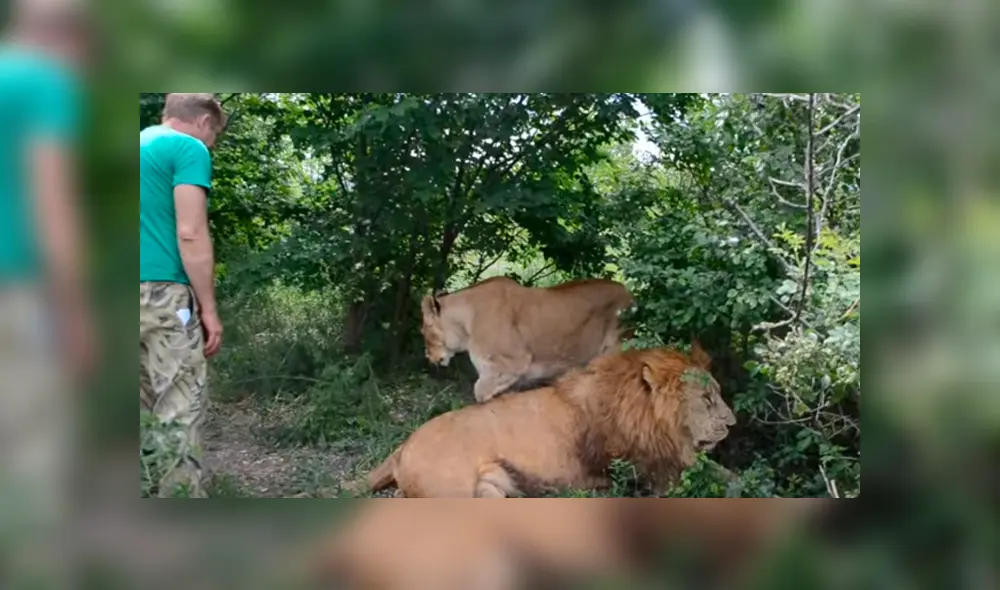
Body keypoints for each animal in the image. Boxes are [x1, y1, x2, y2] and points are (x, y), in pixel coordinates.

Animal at [363, 341, 737, 497]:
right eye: (707, 399)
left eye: (718, 392)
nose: (732, 424)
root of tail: (403, 446)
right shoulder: (654, 472)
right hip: (452, 491)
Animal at [420, 276, 634, 403]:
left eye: (424, 330)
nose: (428, 357)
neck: (467, 324)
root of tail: (629, 293)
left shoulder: (513, 364)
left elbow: (480, 394)